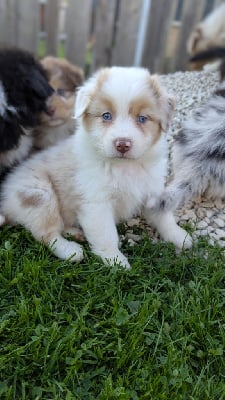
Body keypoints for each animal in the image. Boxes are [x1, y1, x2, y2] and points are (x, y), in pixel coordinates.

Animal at [0, 67, 192, 268]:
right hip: (39, 194)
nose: (122, 144)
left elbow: (164, 215)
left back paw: (75, 232)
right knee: (45, 233)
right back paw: (71, 250)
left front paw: (179, 236)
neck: (125, 166)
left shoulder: (152, 190)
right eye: (106, 116)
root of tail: (4, 201)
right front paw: (116, 260)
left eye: (142, 118)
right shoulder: (97, 203)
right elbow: (107, 234)